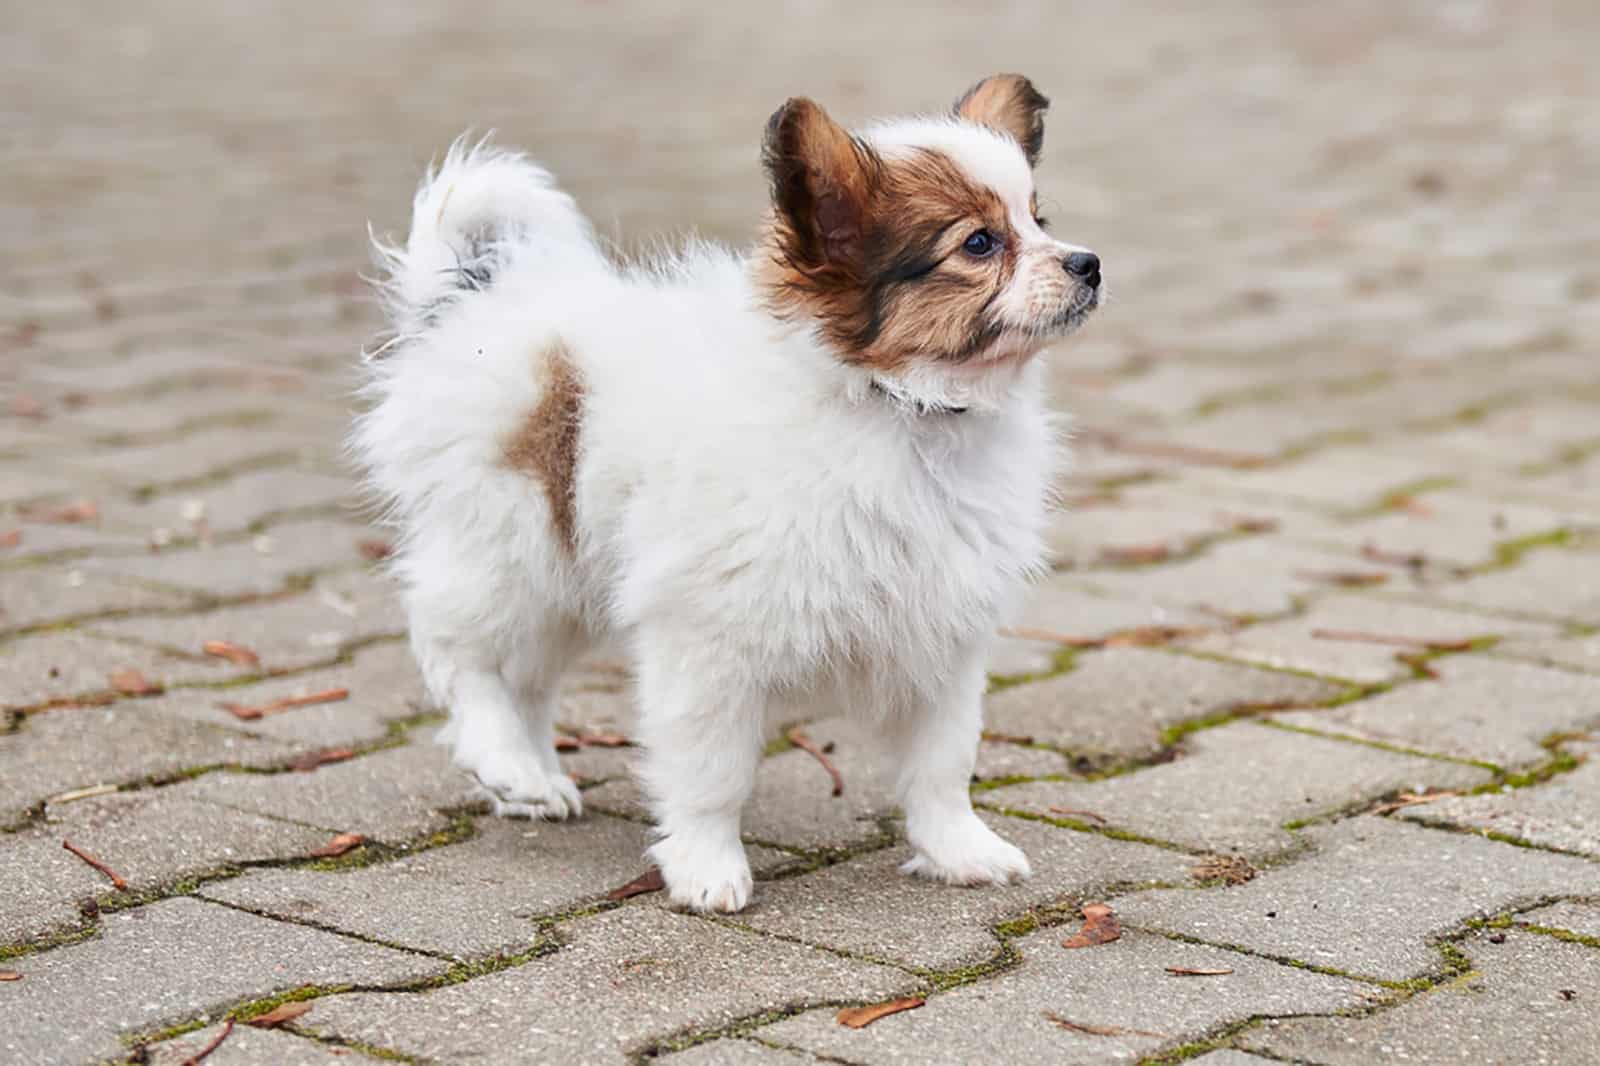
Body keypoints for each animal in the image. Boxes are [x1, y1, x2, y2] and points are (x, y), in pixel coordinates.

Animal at [350, 74, 1100, 909]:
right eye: (978, 244)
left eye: (1039, 222)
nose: (1089, 263)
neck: (898, 410)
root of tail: (481, 297)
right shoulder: (709, 637)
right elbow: (712, 771)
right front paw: (708, 868)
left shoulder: (940, 631)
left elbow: (943, 764)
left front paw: (960, 850)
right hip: (512, 544)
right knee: (459, 648)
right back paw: (503, 758)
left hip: (567, 574)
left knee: (528, 679)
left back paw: (534, 779)